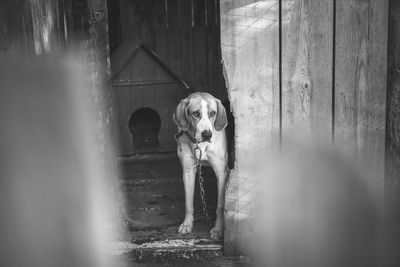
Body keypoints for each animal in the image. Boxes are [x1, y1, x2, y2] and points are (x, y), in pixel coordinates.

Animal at [173, 92, 228, 241]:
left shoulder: (221, 172)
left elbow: (220, 205)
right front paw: (187, 225)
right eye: (195, 113)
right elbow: (188, 202)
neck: (200, 145)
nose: (207, 134)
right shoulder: (187, 172)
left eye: (213, 113)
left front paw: (218, 230)